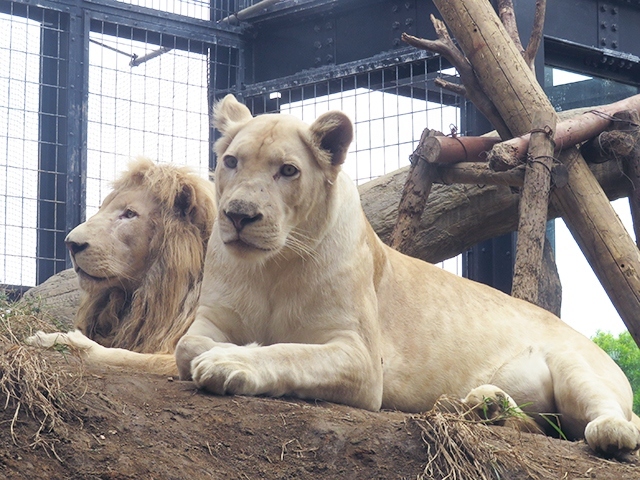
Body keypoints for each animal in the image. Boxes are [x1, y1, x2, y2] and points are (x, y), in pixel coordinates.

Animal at [175, 94, 640, 458]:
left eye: (288, 170)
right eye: (231, 161)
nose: (238, 215)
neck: (273, 266)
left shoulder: (362, 359)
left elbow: (290, 353)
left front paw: (230, 361)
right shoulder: (212, 318)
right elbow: (187, 347)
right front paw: (220, 351)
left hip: (579, 365)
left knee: (610, 418)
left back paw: (608, 432)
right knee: (540, 425)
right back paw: (486, 405)